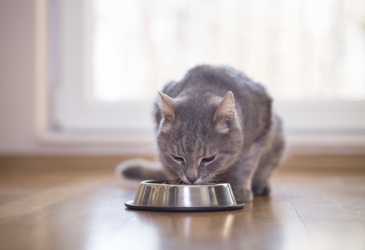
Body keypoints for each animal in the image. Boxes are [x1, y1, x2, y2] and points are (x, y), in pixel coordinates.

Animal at [118, 65, 282, 203]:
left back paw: (260, 185)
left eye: (209, 159)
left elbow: (245, 166)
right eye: (177, 157)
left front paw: (239, 190)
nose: (191, 178)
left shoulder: (257, 139)